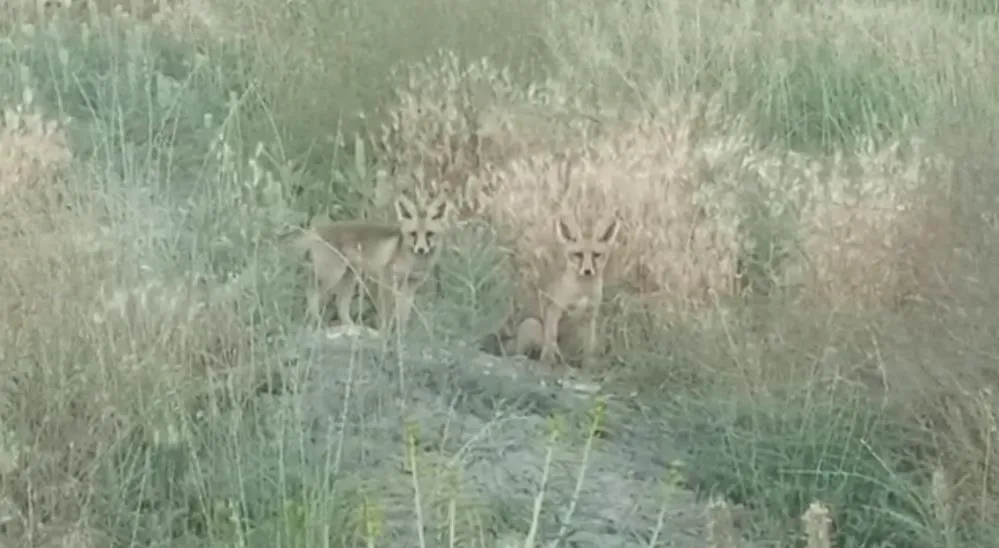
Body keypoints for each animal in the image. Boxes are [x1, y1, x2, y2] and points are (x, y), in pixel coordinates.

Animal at [286, 193, 450, 330]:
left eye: (429, 234)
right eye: (413, 234)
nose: (421, 249)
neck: (413, 261)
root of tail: (318, 230)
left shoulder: (410, 286)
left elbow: (404, 315)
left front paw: (401, 336)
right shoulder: (386, 279)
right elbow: (386, 313)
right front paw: (384, 334)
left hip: (349, 277)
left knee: (340, 304)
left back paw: (352, 328)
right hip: (332, 275)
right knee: (311, 293)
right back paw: (317, 322)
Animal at [496, 214, 620, 372]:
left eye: (596, 255)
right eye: (578, 255)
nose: (587, 271)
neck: (582, 291)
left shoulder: (590, 315)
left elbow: (590, 346)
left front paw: (589, 366)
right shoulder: (555, 309)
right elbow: (551, 338)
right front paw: (547, 362)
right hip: (532, 324)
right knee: (523, 351)